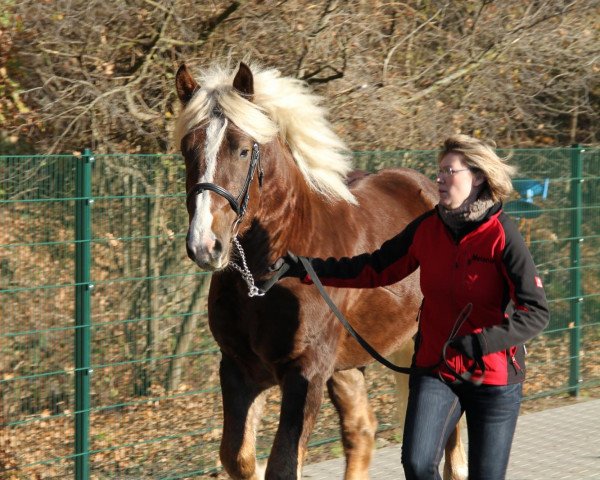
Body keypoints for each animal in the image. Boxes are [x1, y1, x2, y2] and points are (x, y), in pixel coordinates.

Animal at [173, 62, 468, 478]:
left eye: (243, 149)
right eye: (188, 149)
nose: (205, 245)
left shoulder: (305, 374)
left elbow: (283, 464)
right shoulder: (240, 370)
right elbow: (239, 458)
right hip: (351, 364)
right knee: (361, 431)